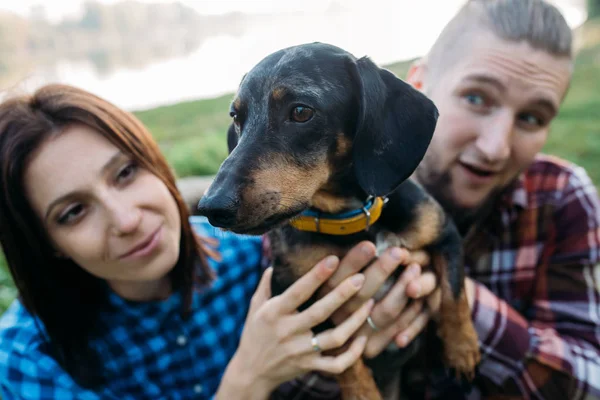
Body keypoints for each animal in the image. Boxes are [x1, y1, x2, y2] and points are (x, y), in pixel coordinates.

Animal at [199, 42, 480, 398]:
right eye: (237, 117)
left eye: (301, 112)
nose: (211, 207)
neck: (352, 222)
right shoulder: (300, 296)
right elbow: (340, 354)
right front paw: (362, 392)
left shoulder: (445, 234)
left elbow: (453, 294)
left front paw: (463, 350)